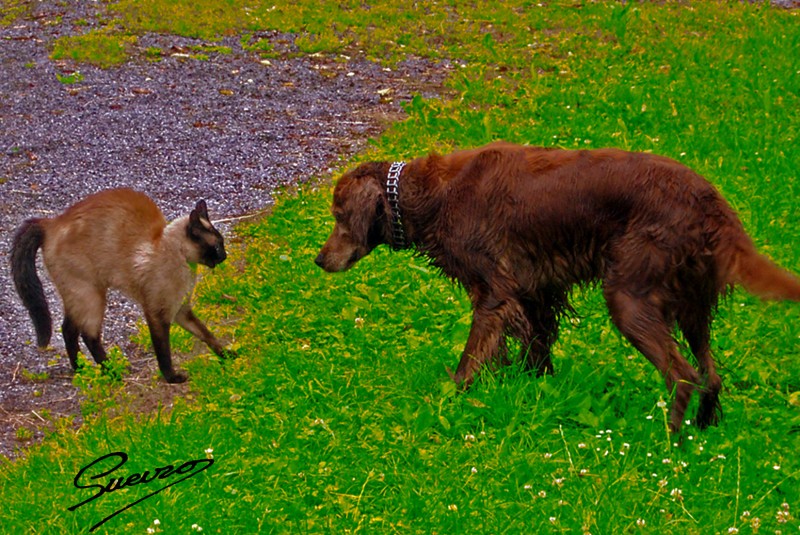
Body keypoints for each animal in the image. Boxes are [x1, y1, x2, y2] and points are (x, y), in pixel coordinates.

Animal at [11, 188, 231, 386]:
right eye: (217, 246)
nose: (225, 256)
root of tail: (50, 223)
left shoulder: (181, 310)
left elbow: (206, 334)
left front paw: (227, 355)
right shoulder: (157, 314)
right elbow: (163, 352)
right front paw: (172, 378)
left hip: (79, 297)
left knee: (68, 329)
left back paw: (81, 369)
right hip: (91, 296)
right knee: (88, 335)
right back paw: (111, 372)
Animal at [316, 141, 796, 432]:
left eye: (339, 216)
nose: (319, 260)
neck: (433, 195)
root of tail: (710, 200)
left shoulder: (494, 291)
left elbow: (471, 360)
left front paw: (453, 398)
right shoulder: (535, 292)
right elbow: (534, 348)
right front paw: (532, 391)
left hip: (629, 296)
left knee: (683, 375)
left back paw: (669, 441)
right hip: (693, 307)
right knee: (711, 376)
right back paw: (702, 432)